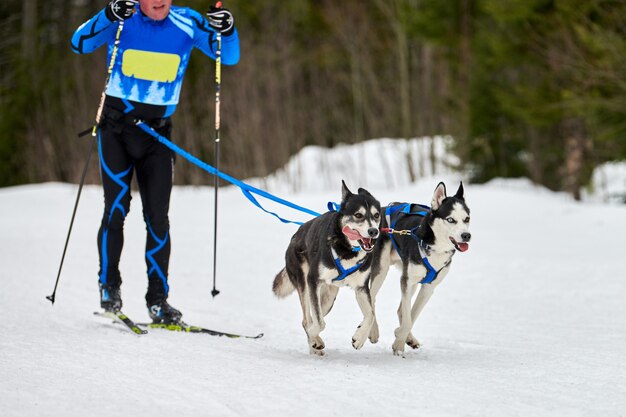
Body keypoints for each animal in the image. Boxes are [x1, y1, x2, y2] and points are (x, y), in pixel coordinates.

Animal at [272, 180, 380, 356]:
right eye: (358, 215)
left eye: (376, 215)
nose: (373, 231)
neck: (347, 249)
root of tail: (295, 236)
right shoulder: (313, 280)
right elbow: (319, 323)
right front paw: (315, 337)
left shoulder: (361, 288)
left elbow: (370, 314)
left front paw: (359, 337)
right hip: (305, 284)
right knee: (307, 320)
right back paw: (314, 342)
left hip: (329, 297)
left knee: (314, 316)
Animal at [368, 182, 470, 354]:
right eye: (450, 219)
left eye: (467, 219)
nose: (466, 236)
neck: (434, 247)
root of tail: (381, 209)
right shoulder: (406, 281)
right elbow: (408, 319)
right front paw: (399, 344)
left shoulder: (428, 286)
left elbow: (411, 315)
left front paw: (401, 337)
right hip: (381, 269)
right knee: (372, 299)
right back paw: (373, 332)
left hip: (411, 279)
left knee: (401, 310)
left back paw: (409, 338)